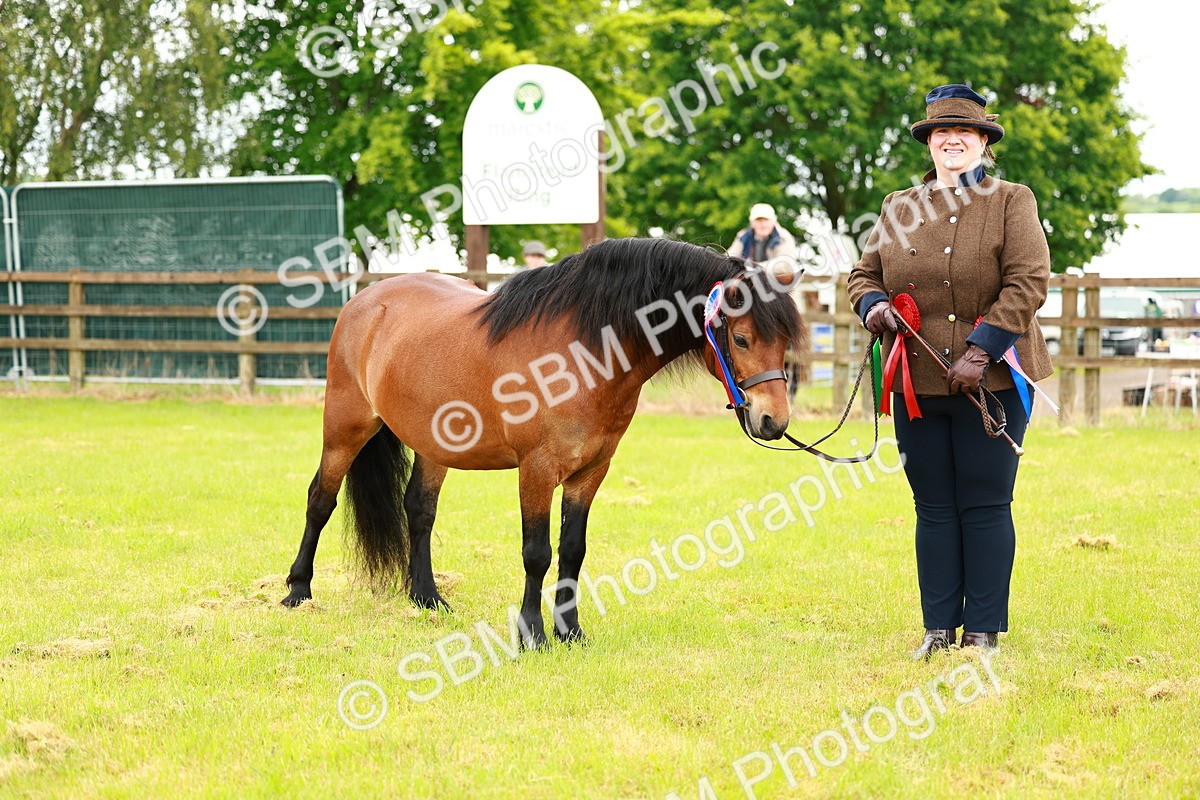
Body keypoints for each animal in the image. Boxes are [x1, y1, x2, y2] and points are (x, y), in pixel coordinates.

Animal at [281, 237, 804, 647]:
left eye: (784, 342)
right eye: (740, 338)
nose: (773, 421)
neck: (582, 353)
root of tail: (366, 300)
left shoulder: (590, 472)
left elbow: (572, 550)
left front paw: (570, 632)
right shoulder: (537, 469)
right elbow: (537, 553)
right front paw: (532, 634)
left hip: (434, 446)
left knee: (420, 510)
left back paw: (427, 598)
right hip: (345, 428)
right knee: (320, 500)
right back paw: (297, 591)